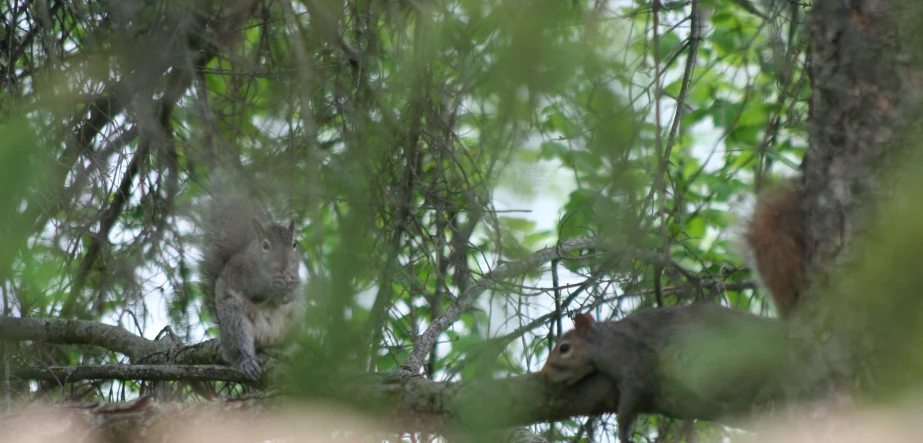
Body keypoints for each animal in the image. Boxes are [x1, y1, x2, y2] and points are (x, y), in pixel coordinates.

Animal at [199, 194, 306, 378]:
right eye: (265, 245)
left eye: (294, 244)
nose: (283, 265)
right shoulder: (241, 273)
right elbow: (253, 290)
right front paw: (271, 285)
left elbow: (287, 297)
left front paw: (292, 286)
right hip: (235, 320)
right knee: (240, 346)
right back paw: (247, 361)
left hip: (296, 318)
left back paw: (279, 351)